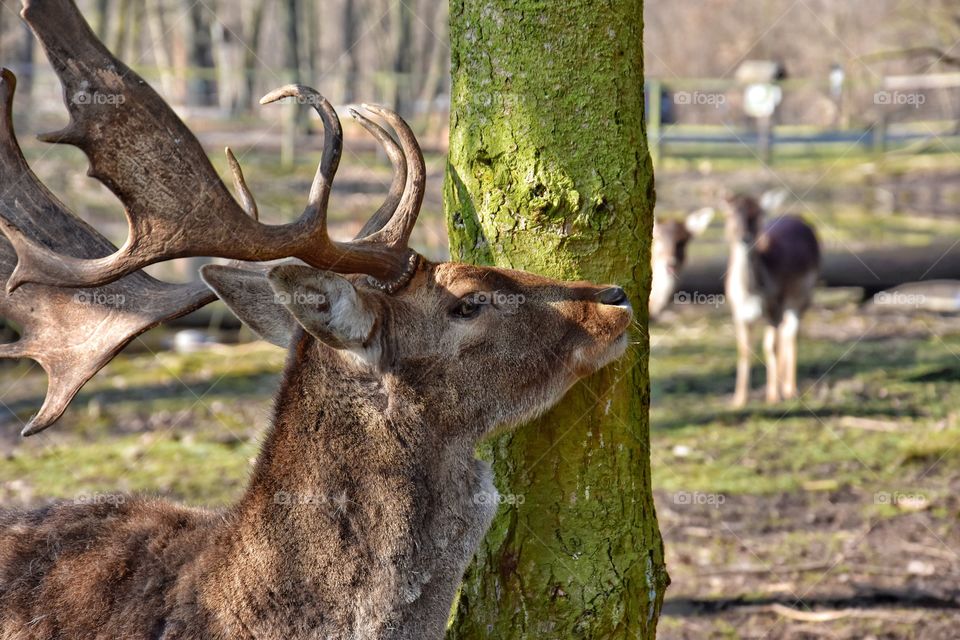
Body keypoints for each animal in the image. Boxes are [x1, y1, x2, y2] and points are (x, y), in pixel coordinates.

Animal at [724, 192, 820, 408]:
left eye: (756, 214)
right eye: (732, 213)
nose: (745, 237)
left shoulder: (774, 307)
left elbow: (771, 347)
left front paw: (773, 397)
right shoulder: (737, 312)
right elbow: (744, 350)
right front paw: (739, 399)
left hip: (802, 295)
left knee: (791, 333)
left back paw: (789, 389)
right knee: (786, 332)